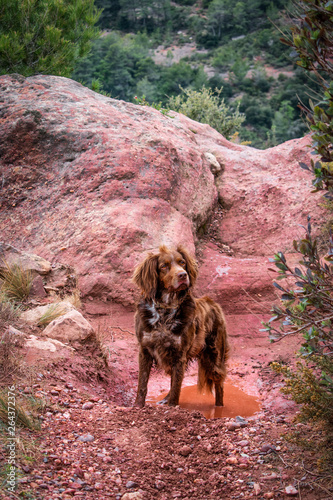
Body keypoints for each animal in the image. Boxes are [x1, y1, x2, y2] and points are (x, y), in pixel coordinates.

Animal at [132, 244, 228, 408]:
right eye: (164, 266)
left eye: (182, 262)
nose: (183, 275)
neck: (165, 309)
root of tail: (213, 304)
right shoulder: (145, 350)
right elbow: (142, 385)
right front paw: (138, 406)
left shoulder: (179, 354)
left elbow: (176, 387)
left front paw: (172, 408)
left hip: (214, 356)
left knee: (219, 385)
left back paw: (219, 408)